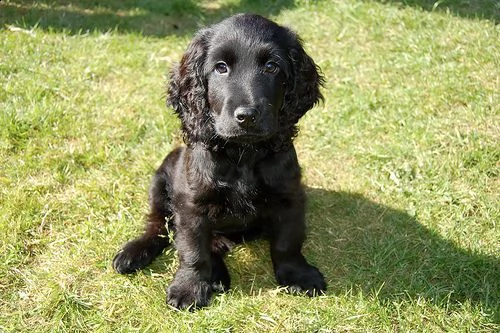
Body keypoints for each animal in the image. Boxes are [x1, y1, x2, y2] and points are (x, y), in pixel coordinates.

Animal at [111, 13, 326, 308]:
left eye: (271, 67)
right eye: (220, 68)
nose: (247, 116)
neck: (242, 154)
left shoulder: (290, 196)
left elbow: (287, 242)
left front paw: (298, 275)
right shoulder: (191, 205)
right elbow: (192, 249)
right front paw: (189, 287)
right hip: (161, 180)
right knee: (159, 226)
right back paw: (135, 252)